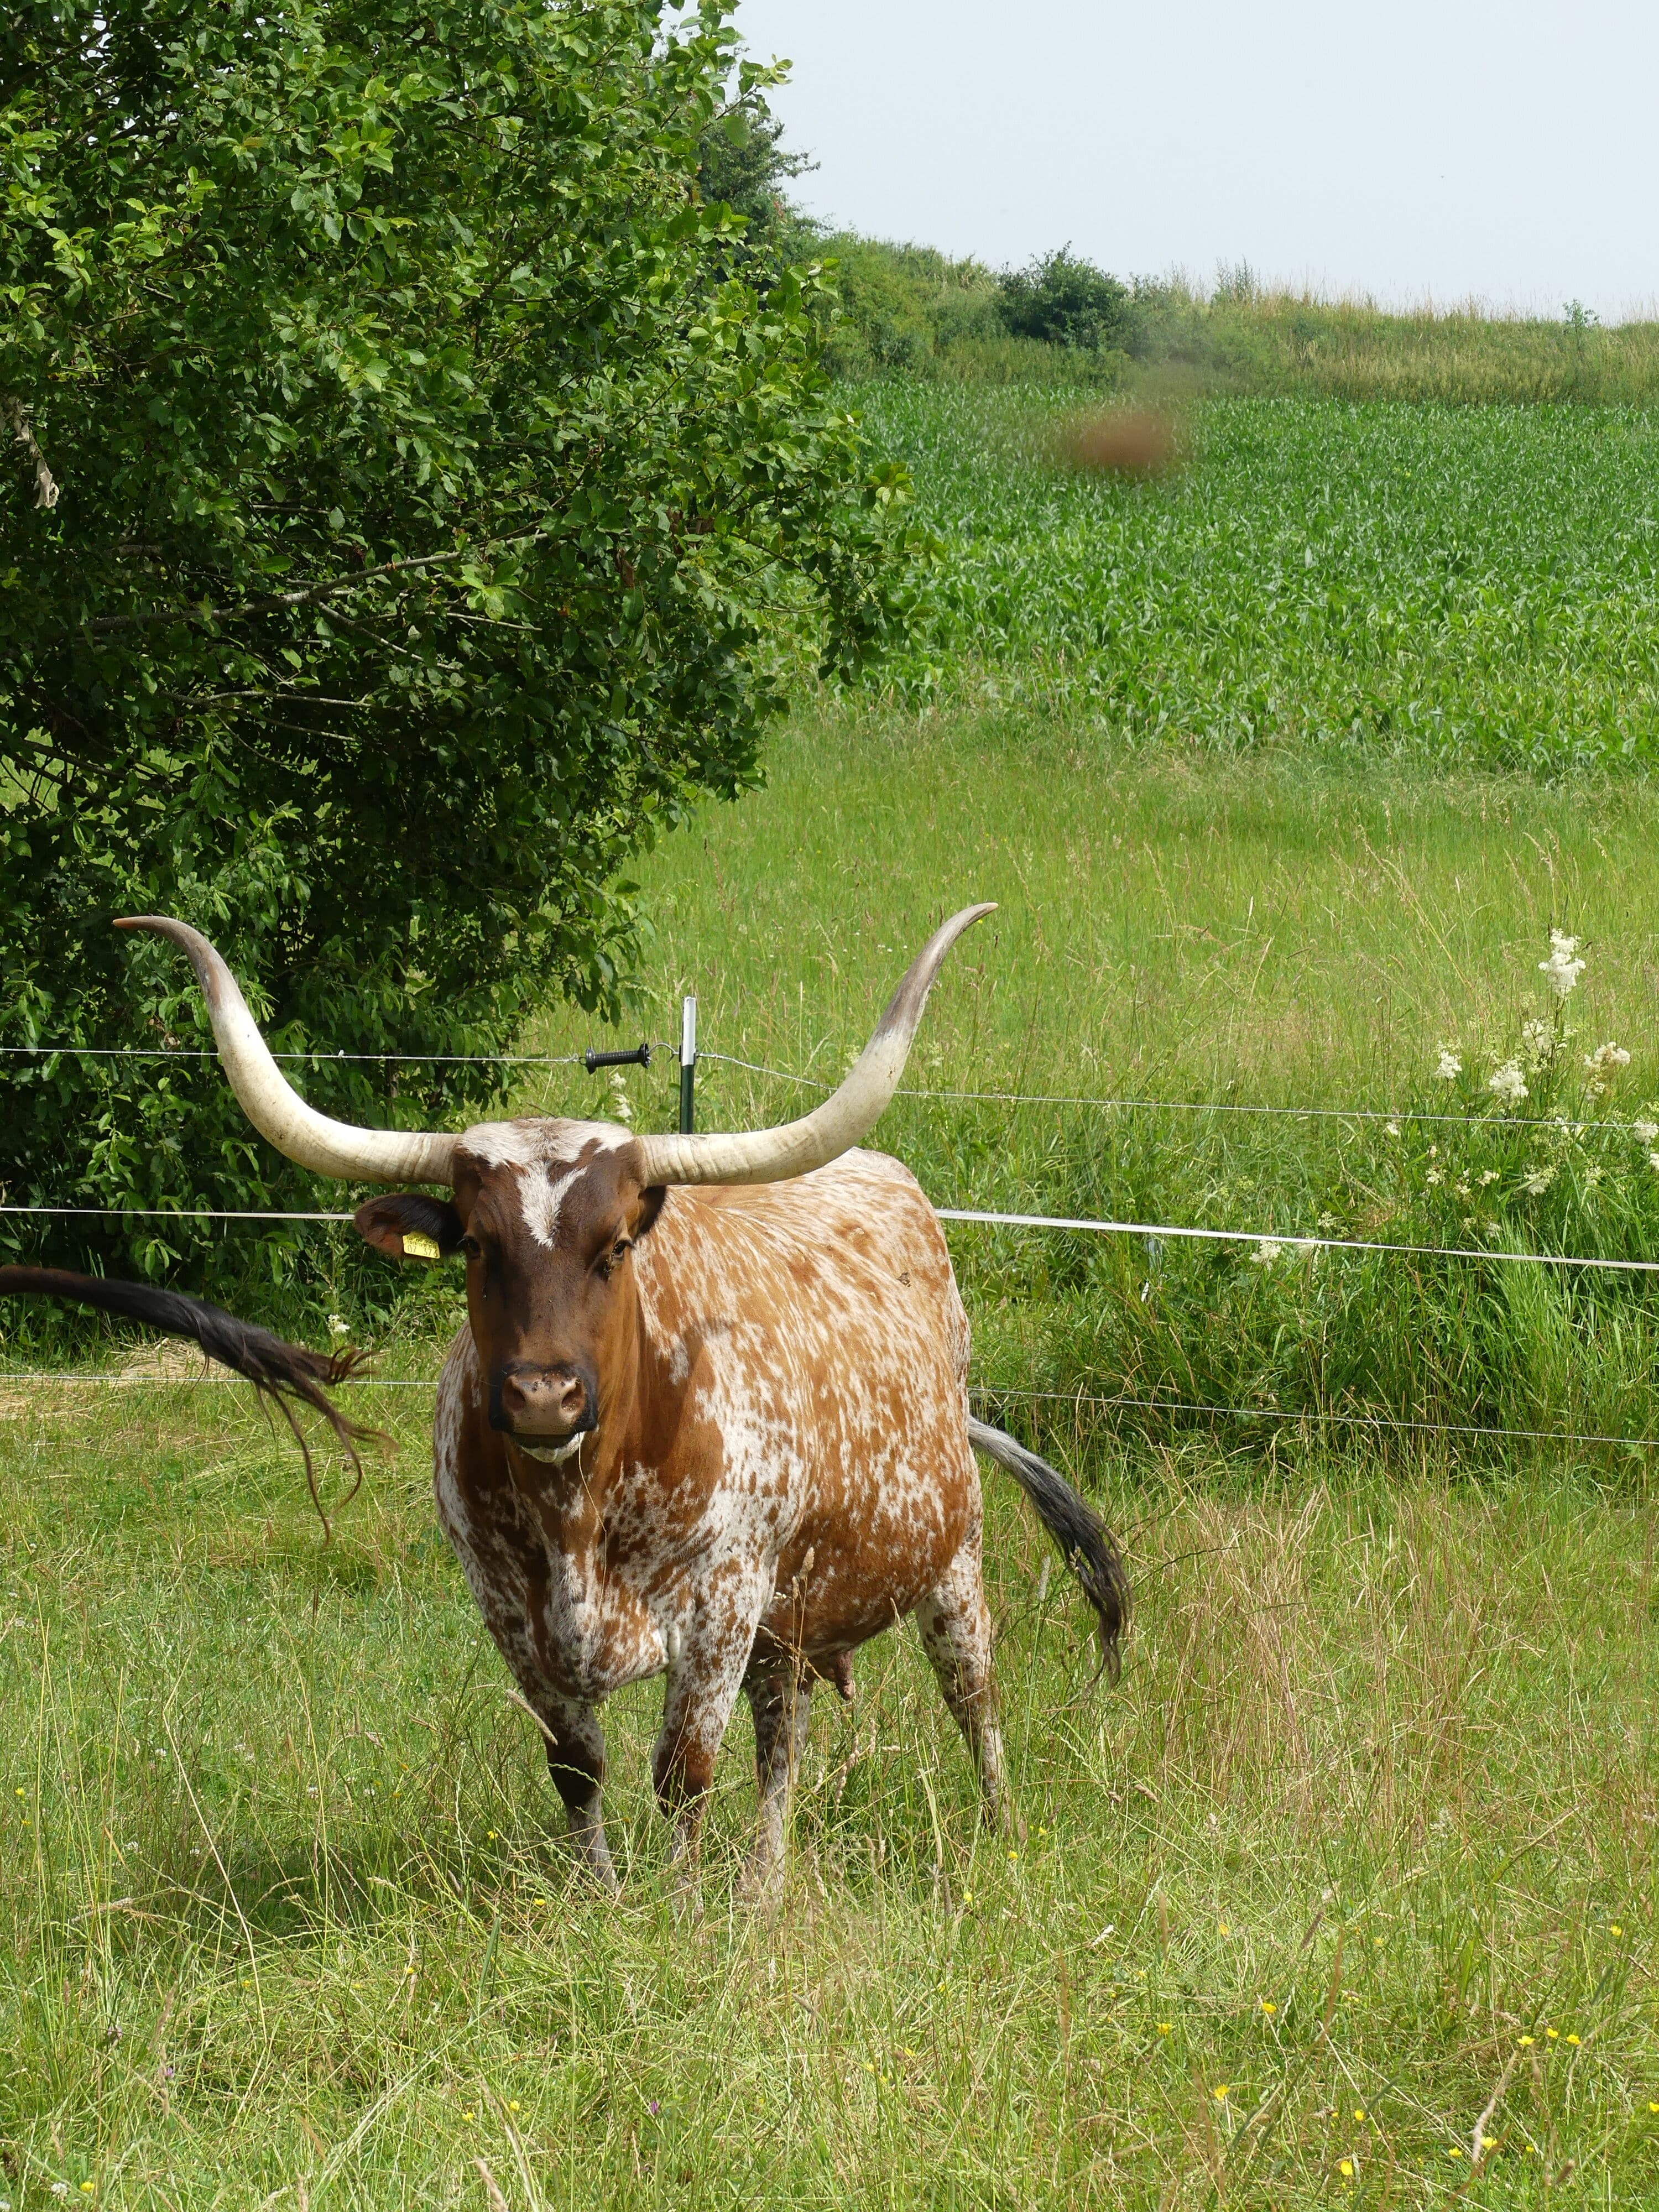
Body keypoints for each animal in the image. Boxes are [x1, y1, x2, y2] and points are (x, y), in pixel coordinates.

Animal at [120, 907, 1133, 1893]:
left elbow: (683, 1771)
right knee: (785, 1732)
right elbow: (577, 1767)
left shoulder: (720, 1601)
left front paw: (680, 1913)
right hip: (789, 1613)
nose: (542, 1393)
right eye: (476, 1245)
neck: (582, 1501)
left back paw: (1000, 1834)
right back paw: (764, 1887)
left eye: (613, 1247)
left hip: (946, 1558)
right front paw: (602, 1903)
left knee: (971, 1696)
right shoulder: (510, 1607)